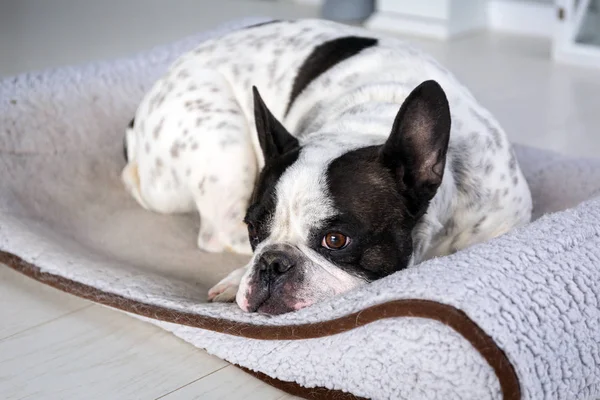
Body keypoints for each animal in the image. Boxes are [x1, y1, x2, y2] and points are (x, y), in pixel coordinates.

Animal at [120, 19, 528, 316]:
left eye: (336, 240)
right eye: (254, 229)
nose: (272, 262)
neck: (369, 122)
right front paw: (239, 277)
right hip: (224, 140)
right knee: (214, 233)